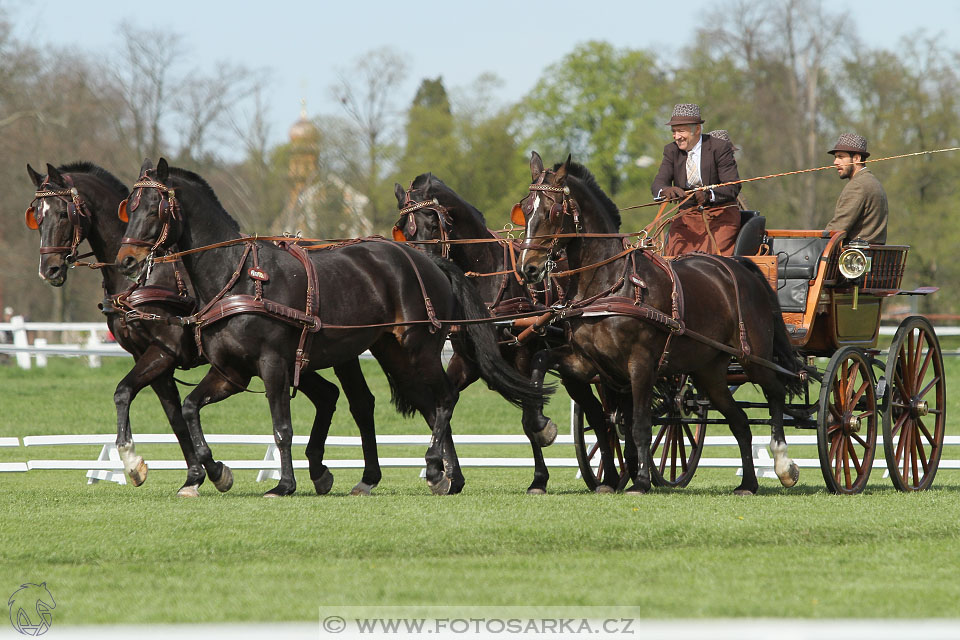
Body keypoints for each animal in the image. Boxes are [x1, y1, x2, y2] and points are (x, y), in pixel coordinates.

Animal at [25, 162, 382, 498]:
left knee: (359, 401)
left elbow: (125, 392)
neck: (145, 279)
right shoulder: (151, 358)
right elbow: (174, 417)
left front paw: (137, 463)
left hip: (337, 353)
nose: (49, 269)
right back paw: (321, 472)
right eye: (37, 217)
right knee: (328, 395)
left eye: (62, 213)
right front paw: (195, 476)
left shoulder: (163, 352)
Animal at [115, 159, 548, 496]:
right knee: (424, 403)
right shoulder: (231, 372)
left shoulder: (273, 364)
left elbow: (281, 427)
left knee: (444, 399)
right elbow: (189, 409)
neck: (237, 277)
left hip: (418, 350)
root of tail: (429, 263)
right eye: (129, 208)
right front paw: (216, 472)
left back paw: (434, 467)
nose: (126, 260)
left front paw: (283, 484)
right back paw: (437, 476)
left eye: (154, 208)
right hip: (392, 352)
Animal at [394, 172, 612, 492]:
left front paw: (539, 476)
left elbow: (529, 420)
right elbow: (443, 405)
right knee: (598, 414)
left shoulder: (523, 356)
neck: (490, 274)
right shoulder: (465, 361)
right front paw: (450, 475)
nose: (425, 268)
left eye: (434, 225)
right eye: (403, 232)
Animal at [516, 154, 804, 496]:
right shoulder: (585, 362)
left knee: (775, 392)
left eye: (553, 210)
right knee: (740, 422)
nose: (528, 269)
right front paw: (541, 427)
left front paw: (640, 481)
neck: (612, 283)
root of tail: (740, 266)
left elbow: (640, 424)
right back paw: (748, 482)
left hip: (753, 357)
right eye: (525, 207)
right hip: (709, 371)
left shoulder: (641, 363)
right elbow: (543, 363)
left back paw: (783, 465)